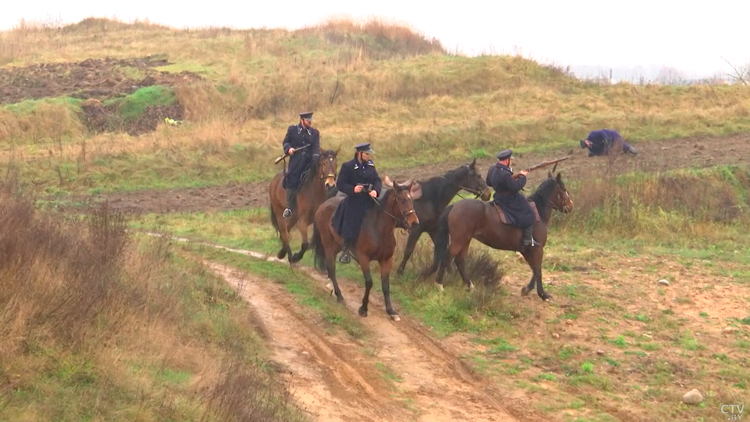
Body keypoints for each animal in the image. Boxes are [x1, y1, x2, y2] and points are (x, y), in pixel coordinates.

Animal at [308, 177, 420, 320]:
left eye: (412, 200)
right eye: (402, 200)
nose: (415, 223)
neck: (379, 230)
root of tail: (323, 205)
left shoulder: (386, 260)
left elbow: (385, 285)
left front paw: (391, 310)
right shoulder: (363, 258)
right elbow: (369, 282)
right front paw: (363, 308)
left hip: (337, 245)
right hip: (328, 244)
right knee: (331, 269)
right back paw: (339, 296)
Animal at [432, 171, 572, 300]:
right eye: (564, 189)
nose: (570, 206)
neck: (538, 213)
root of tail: (454, 206)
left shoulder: (527, 250)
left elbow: (534, 269)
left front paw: (527, 289)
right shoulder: (537, 249)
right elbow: (538, 270)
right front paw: (543, 294)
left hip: (465, 240)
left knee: (460, 261)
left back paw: (470, 286)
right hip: (459, 241)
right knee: (447, 258)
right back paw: (439, 285)